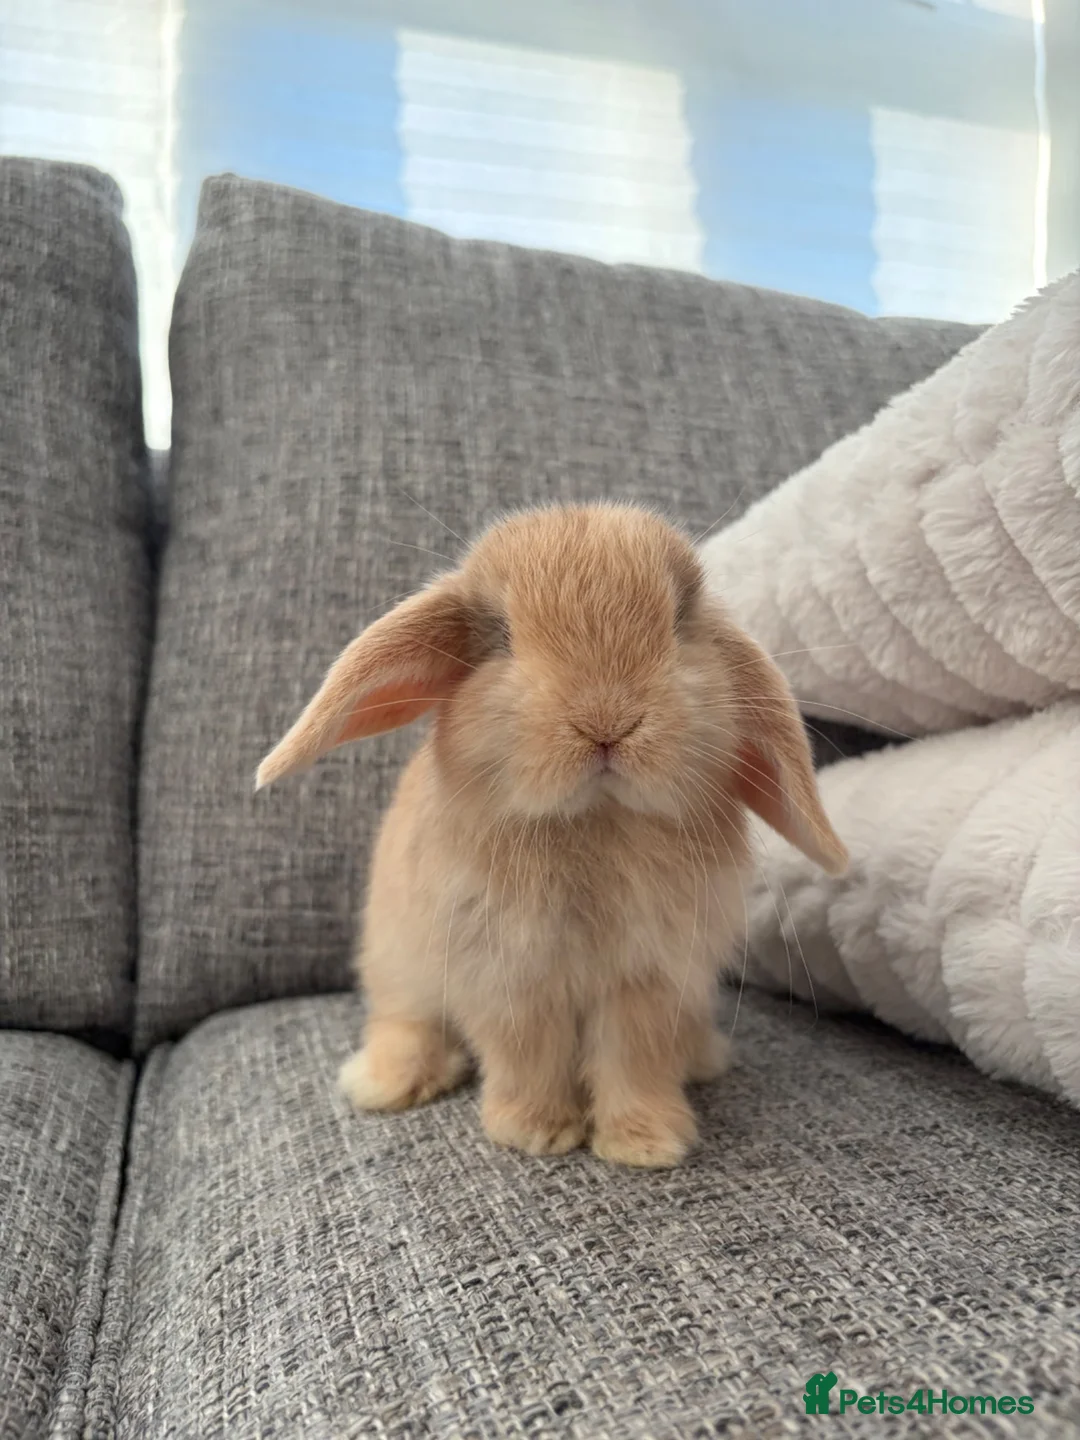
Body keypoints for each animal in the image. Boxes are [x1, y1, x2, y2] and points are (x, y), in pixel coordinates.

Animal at [257, 503, 847, 1167]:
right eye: (502, 636)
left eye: (678, 623)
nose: (607, 721)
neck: (594, 819)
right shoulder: (510, 979)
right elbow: (529, 1057)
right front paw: (534, 1132)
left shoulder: (651, 982)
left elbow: (636, 1060)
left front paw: (647, 1144)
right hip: (397, 964)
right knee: (404, 1021)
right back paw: (384, 1082)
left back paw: (703, 1058)